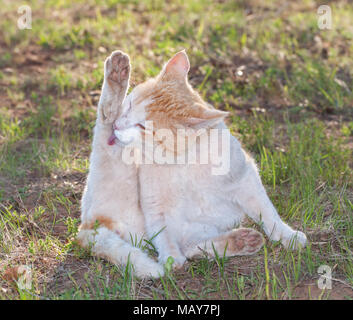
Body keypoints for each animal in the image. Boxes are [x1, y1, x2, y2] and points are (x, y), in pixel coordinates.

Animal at [111, 50, 306, 268]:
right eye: (128, 104)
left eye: (142, 126)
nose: (115, 125)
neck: (183, 161)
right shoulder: (155, 205)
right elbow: (162, 232)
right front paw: (170, 256)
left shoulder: (246, 178)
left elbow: (267, 211)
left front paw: (287, 235)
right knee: (191, 247)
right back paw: (239, 241)